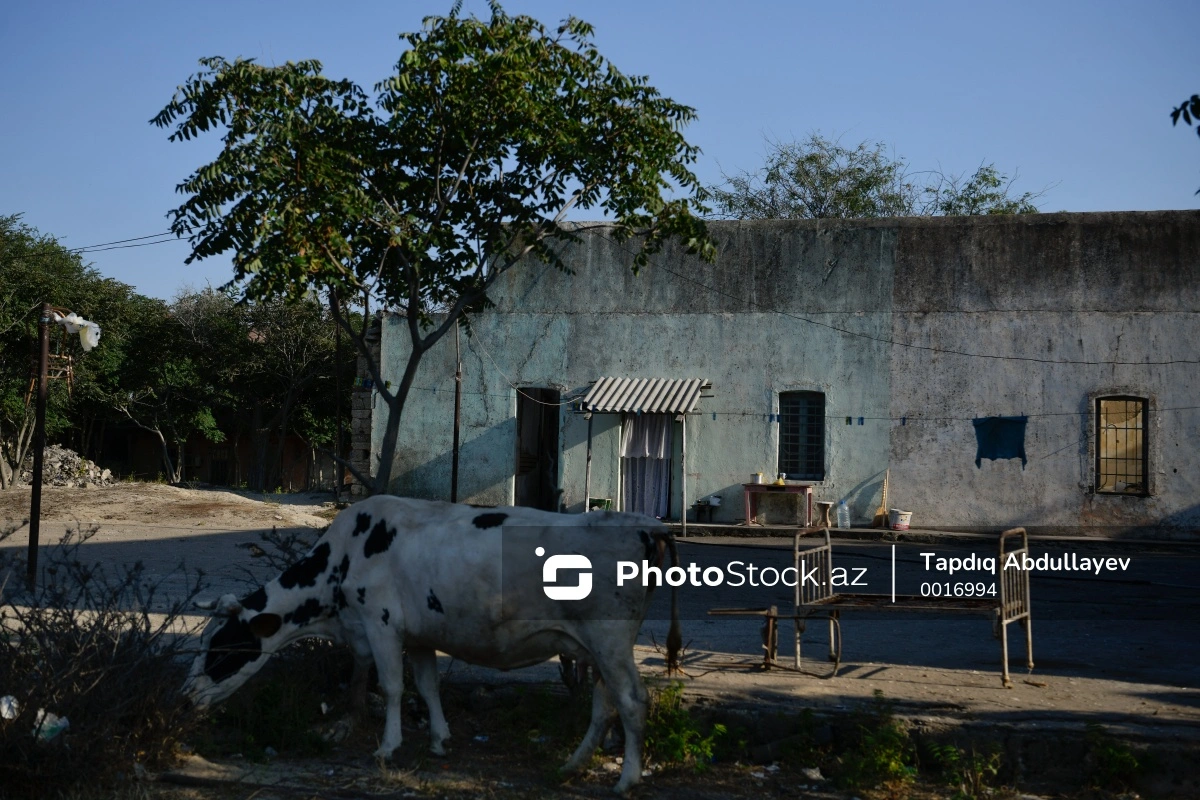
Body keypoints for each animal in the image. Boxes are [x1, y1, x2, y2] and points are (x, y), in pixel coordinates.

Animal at [182, 494, 681, 796]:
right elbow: (427, 686)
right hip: (597, 646)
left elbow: (391, 688)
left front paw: (387, 747)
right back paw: (573, 765)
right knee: (604, 704)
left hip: (610, 639)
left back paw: (626, 780)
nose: (185, 697)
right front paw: (440, 740)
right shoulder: (419, 634)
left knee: (632, 700)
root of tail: (641, 524)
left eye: (222, 650)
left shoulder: (381, 623)